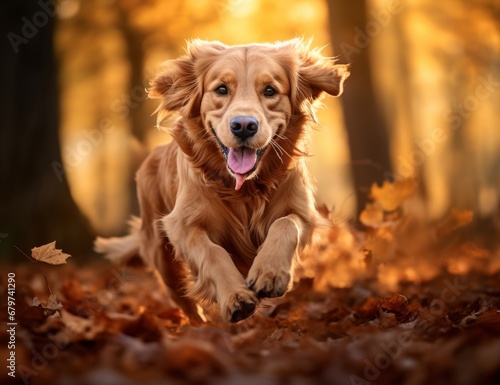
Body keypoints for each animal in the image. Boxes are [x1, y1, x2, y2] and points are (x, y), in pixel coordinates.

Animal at [95, 38, 350, 320]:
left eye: (270, 90)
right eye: (221, 89)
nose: (244, 126)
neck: (244, 189)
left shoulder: (304, 213)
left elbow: (285, 224)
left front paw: (269, 273)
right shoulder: (182, 225)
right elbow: (212, 252)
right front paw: (235, 296)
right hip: (162, 254)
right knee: (183, 300)